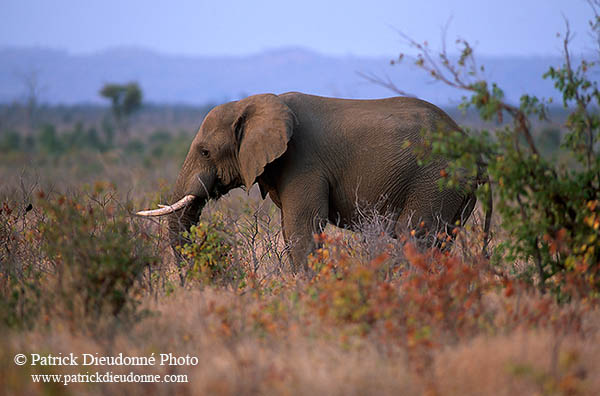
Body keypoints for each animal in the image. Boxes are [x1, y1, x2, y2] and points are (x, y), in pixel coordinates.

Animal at [138, 93, 490, 272]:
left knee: (414, 234)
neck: (255, 103)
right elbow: (290, 228)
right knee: (441, 239)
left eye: (205, 151)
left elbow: (302, 228)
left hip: (436, 179)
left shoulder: (303, 163)